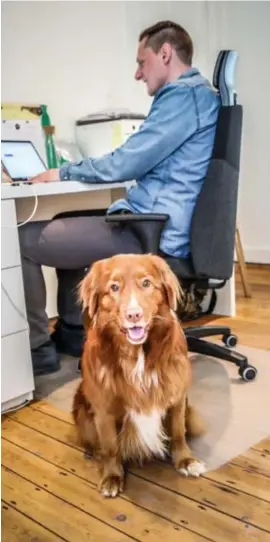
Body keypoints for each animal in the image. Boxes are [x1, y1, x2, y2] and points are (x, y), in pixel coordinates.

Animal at [71, 253, 205, 500]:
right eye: (114, 287)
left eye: (146, 283)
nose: (134, 315)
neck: (139, 354)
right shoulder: (103, 409)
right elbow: (110, 447)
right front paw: (113, 477)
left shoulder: (177, 397)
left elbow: (178, 433)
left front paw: (185, 461)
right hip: (82, 407)